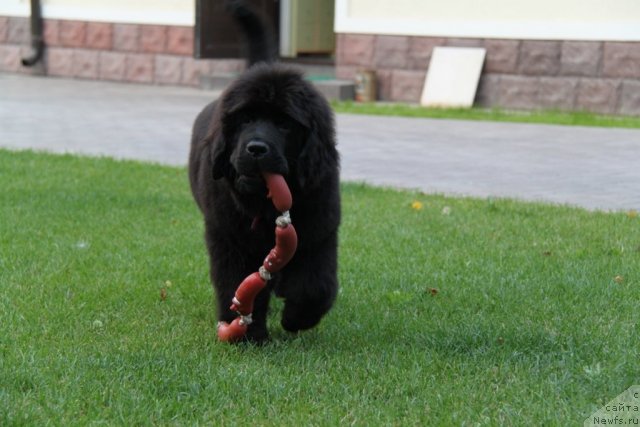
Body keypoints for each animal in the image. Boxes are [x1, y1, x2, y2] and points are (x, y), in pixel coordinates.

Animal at [188, 0, 340, 342]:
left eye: (284, 124)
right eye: (245, 120)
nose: (256, 148)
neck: (265, 207)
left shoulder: (319, 231)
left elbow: (316, 285)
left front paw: (297, 318)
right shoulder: (229, 238)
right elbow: (237, 284)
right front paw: (248, 334)